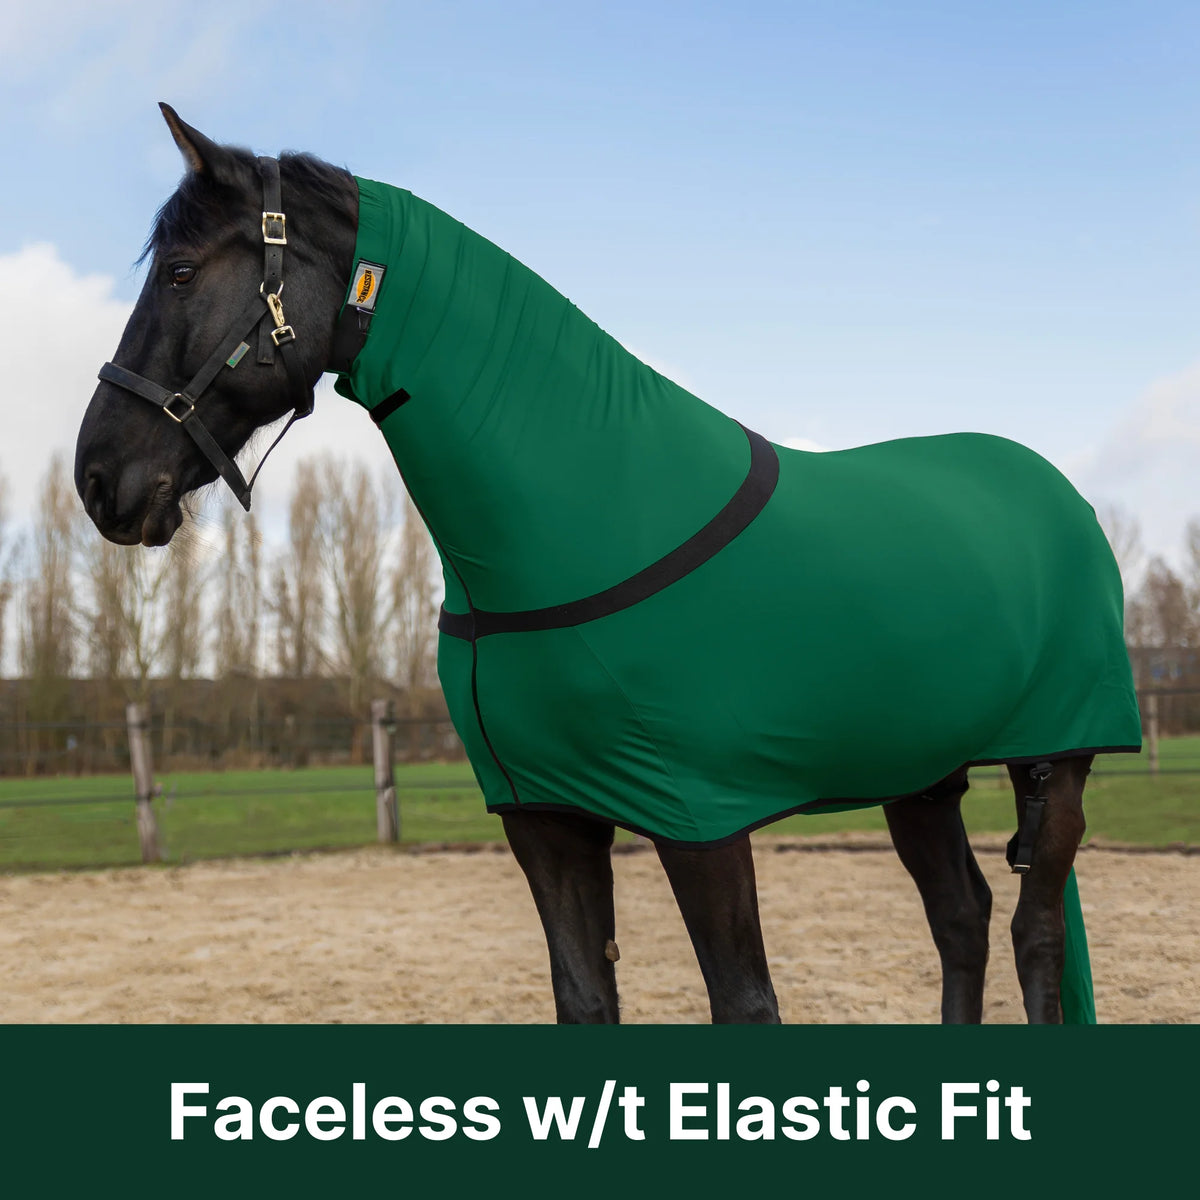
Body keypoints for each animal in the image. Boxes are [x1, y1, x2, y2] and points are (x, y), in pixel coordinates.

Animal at [75, 105, 1141, 1024]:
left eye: (179, 271)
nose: (99, 479)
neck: (576, 520)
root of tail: (1058, 496)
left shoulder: (702, 821)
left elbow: (745, 1003)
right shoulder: (546, 820)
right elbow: (585, 999)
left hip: (1060, 761)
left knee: (1034, 935)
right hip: (920, 772)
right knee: (961, 920)